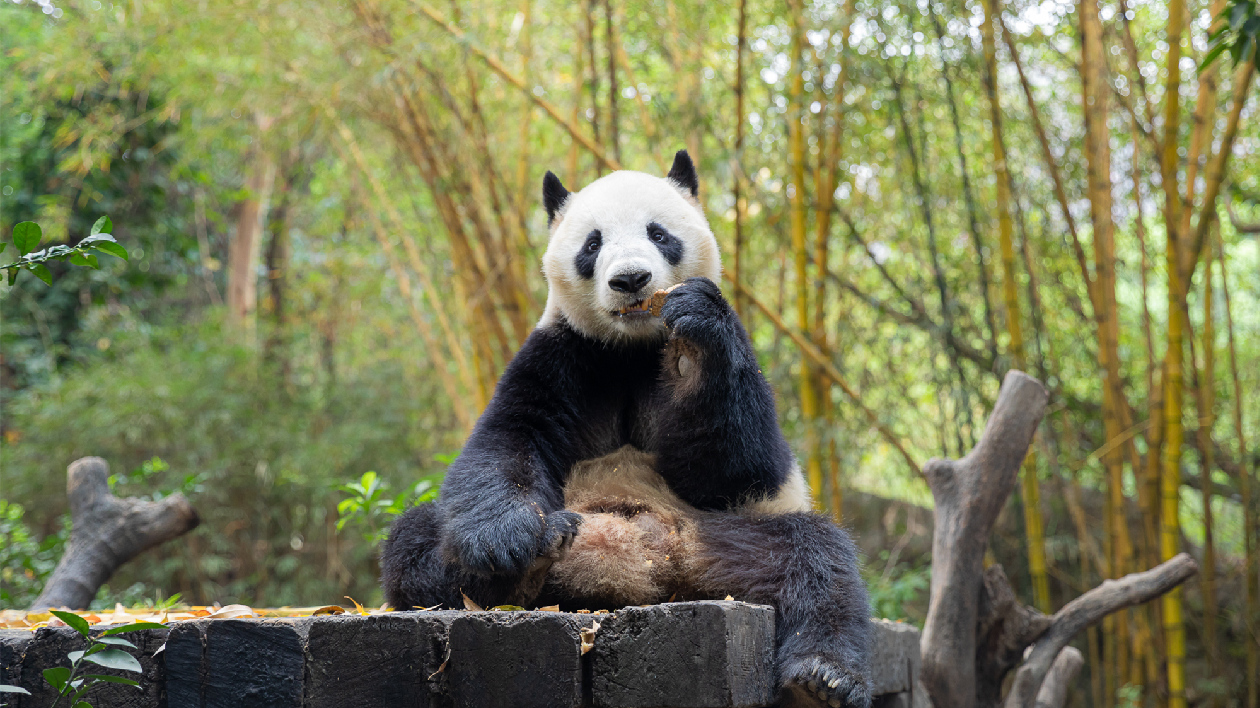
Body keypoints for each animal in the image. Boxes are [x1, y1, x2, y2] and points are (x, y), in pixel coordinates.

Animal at [383, 149, 871, 705]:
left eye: (659, 233)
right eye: (592, 244)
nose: (632, 279)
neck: (633, 344)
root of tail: (650, 563)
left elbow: (734, 469)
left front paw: (695, 344)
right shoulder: (564, 353)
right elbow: (508, 440)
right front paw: (506, 538)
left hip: (729, 538)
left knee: (816, 560)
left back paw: (824, 676)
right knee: (415, 545)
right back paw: (527, 563)